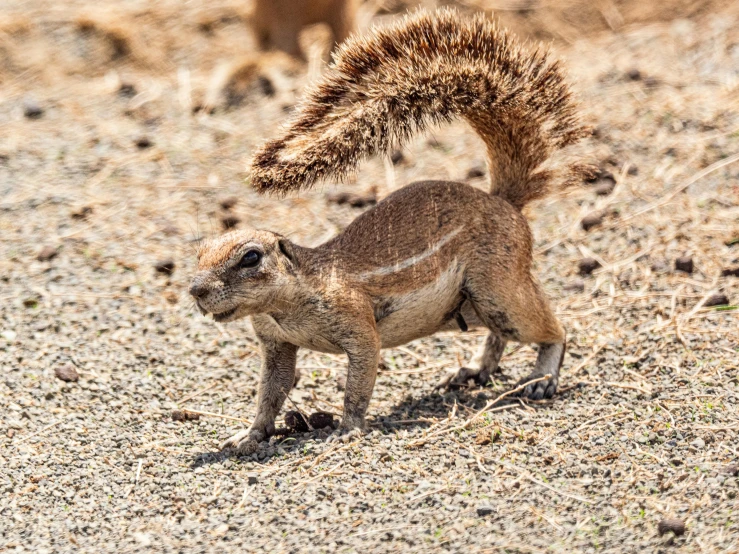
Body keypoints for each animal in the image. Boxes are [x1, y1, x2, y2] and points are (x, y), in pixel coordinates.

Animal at [189, 8, 588, 450]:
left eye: (251, 257)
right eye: (199, 252)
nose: (196, 290)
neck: (287, 304)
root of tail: (503, 200)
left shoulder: (356, 320)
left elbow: (359, 379)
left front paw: (348, 428)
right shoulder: (276, 344)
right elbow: (271, 392)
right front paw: (249, 434)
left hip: (498, 288)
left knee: (551, 328)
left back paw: (542, 377)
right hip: (474, 305)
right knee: (497, 335)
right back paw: (474, 369)